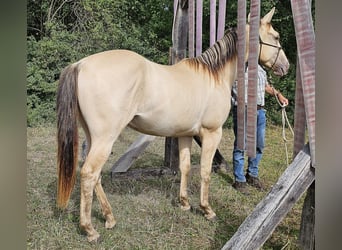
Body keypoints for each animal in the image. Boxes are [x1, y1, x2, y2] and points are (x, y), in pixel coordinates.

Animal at [56, 7, 288, 242]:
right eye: (276, 37)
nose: (285, 66)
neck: (214, 75)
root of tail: (80, 65)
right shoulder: (212, 134)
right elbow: (205, 171)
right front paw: (207, 209)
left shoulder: (185, 134)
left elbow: (184, 167)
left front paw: (184, 203)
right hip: (105, 139)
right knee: (89, 174)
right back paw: (90, 229)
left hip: (93, 137)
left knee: (96, 176)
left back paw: (109, 218)